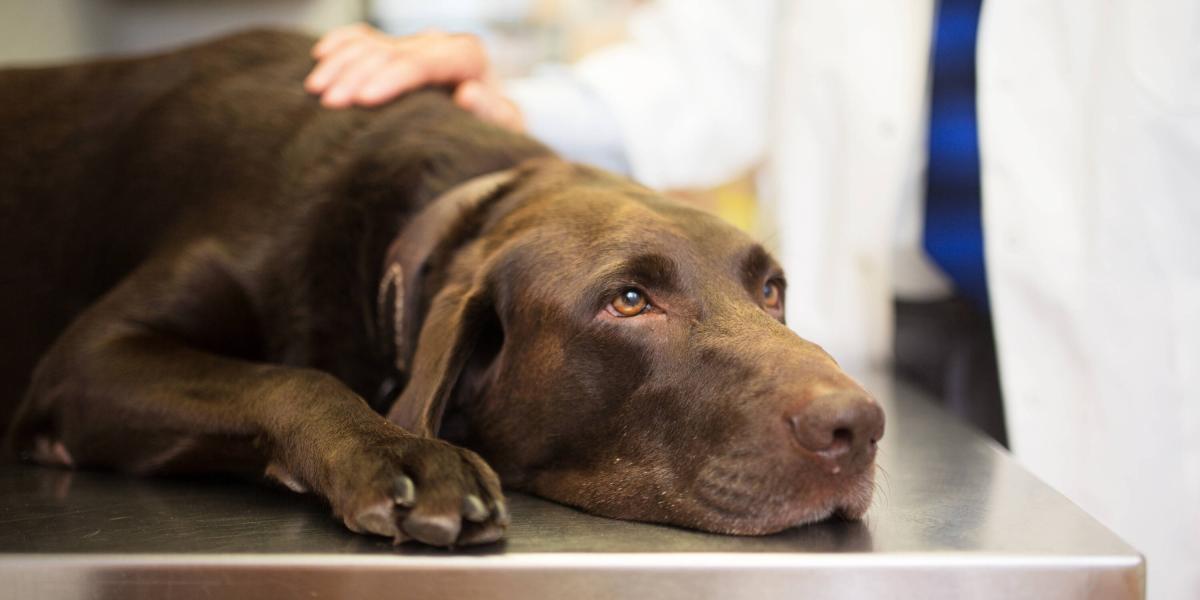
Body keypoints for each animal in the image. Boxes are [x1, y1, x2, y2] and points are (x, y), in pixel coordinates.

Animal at [0, 31, 883, 549]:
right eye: (629, 301)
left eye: (772, 290)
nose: (859, 426)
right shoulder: (86, 363)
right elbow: (295, 379)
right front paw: (403, 454)